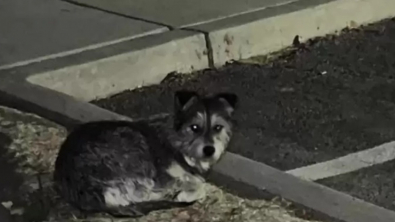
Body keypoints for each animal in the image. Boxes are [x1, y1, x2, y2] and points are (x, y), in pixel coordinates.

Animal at [52, 90, 238, 217]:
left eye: (218, 127)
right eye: (194, 127)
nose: (209, 150)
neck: (178, 142)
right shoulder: (163, 177)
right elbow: (200, 185)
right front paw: (184, 193)